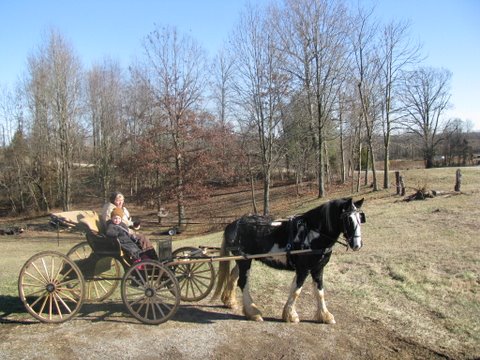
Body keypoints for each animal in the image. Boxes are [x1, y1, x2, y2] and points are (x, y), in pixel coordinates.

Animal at [212, 197, 366, 324]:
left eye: (360, 218)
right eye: (348, 219)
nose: (357, 245)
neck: (312, 233)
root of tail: (232, 225)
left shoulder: (318, 268)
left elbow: (319, 291)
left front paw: (325, 316)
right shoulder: (303, 269)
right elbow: (297, 290)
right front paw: (291, 315)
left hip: (243, 259)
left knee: (233, 275)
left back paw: (230, 301)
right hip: (245, 261)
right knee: (243, 282)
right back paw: (253, 312)